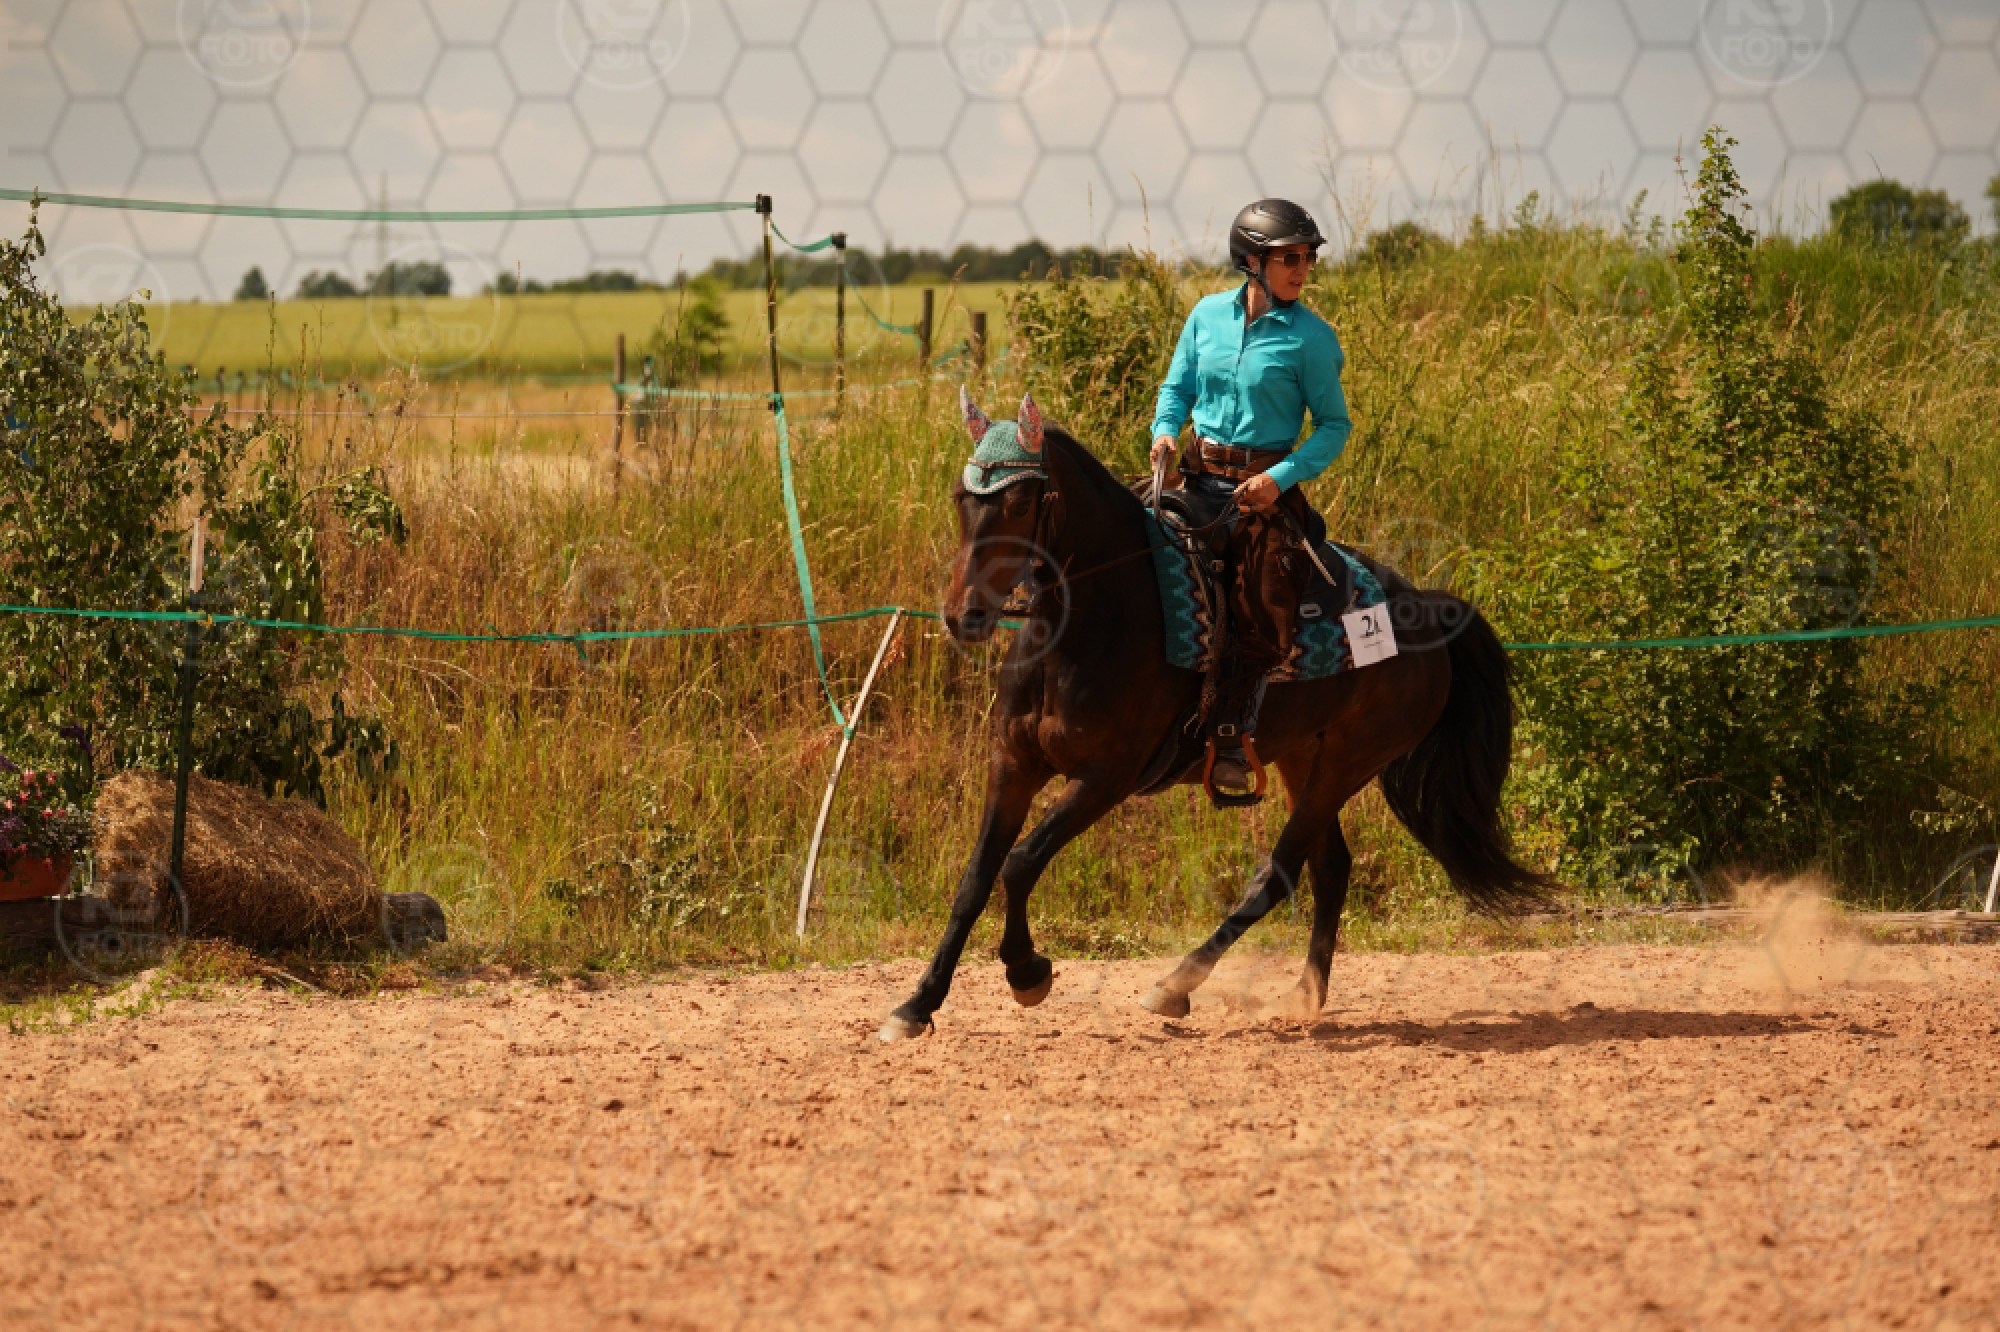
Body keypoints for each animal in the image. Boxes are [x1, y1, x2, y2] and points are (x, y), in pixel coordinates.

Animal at [878, 395, 1548, 1042]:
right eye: (963, 498)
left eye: (1019, 502)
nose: (963, 615)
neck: (1093, 621)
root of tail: (1431, 611)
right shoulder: (1013, 765)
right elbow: (975, 881)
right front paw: (917, 1005)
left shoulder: (1104, 780)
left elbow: (1019, 864)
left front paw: (1027, 973)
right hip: (1302, 755)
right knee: (1331, 866)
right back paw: (1305, 994)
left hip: (1347, 763)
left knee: (1279, 873)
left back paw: (1176, 985)